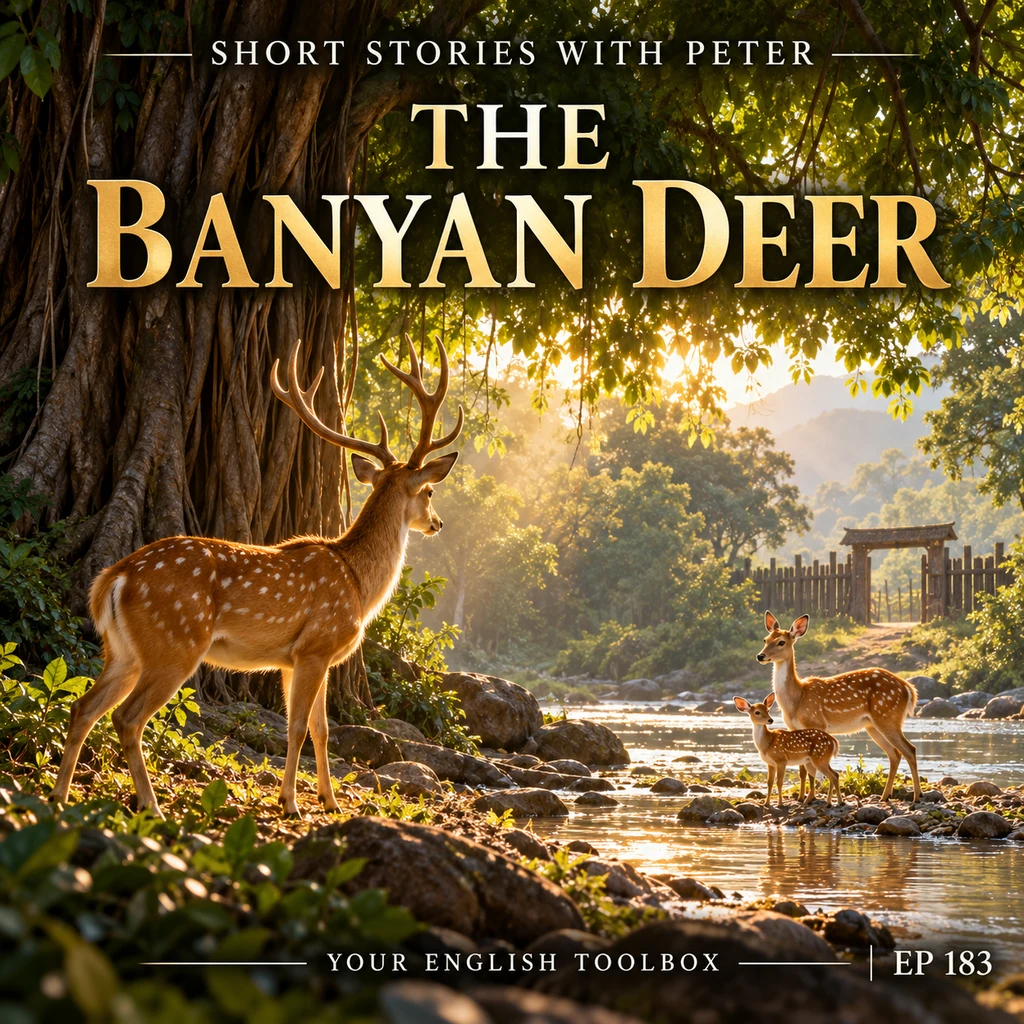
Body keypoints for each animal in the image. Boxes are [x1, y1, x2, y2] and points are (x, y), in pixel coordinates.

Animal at [51, 335, 463, 819]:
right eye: (430, 491)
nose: (438, 523)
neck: (357, 584)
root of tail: (113, 580)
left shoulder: (297, 658)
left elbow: (322, 729)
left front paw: (329, 800)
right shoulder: (316, 646)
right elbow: (299, 727)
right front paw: (291, 804)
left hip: (122, 650)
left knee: (82, 707)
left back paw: (59, 797)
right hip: (174, 643)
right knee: (127, 718)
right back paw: (151, 806)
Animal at [757, 611, 921, 802]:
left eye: (781, 642)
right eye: (765, 639)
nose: (760, 656)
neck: (796, 700)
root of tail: (908, 689)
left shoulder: (817, 723)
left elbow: (812, 770)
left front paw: (812, 797)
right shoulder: (794, 729)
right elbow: (802, 770)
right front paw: (801, 797)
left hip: (888, 716)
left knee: (910, 749)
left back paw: (916, 796)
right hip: (872, 725)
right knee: (894, 754)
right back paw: (884, 796)